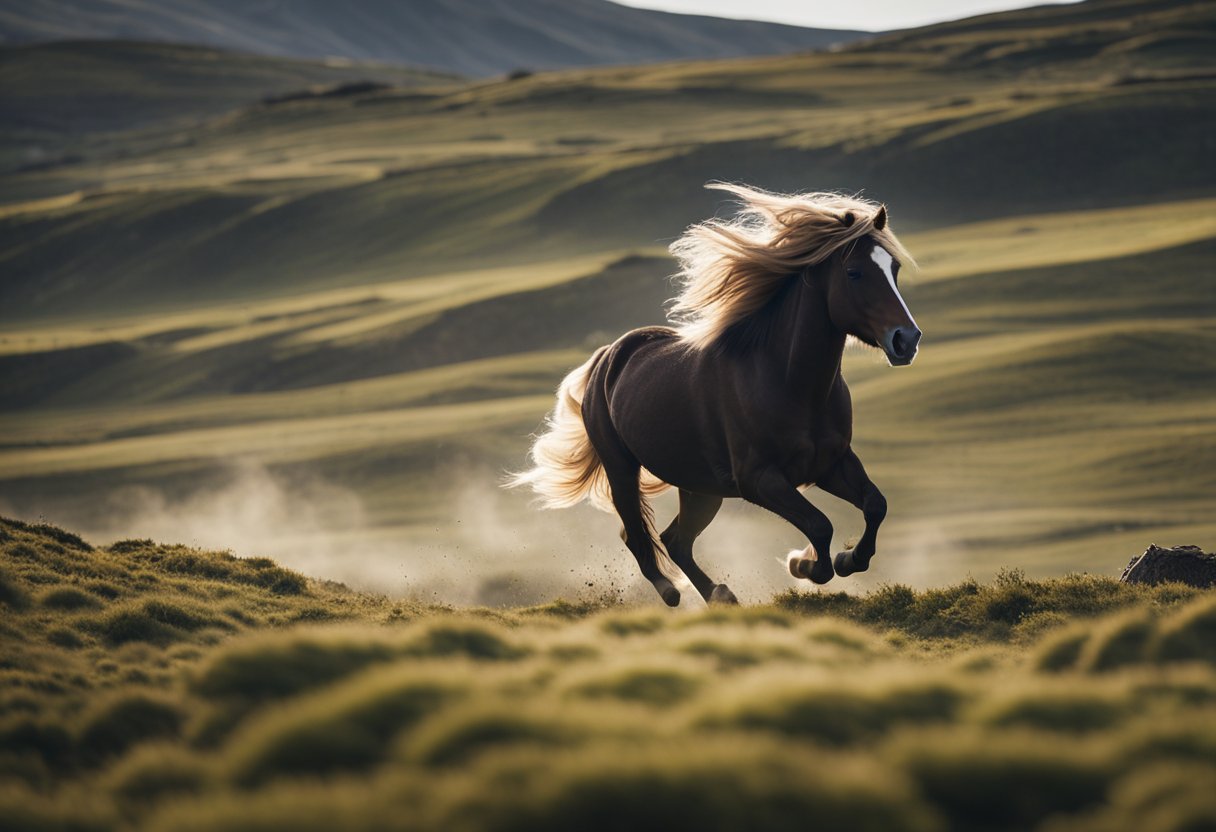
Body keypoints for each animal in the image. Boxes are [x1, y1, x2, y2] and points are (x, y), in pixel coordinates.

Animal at [510, 184, 919, 608]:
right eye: (854, 272)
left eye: (894, 269)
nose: (907, 340)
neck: (791, 384)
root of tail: (609, 355)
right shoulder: (759, 479)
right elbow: (820, 526)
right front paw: (805, 564)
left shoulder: (831, 463)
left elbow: (875, 505)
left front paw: (845, 559)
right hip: (622, 469)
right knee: (638, 536)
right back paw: (672, 592)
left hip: (699, 486)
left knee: (675, 539)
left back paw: (720, 594)